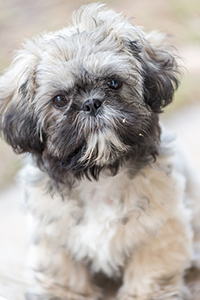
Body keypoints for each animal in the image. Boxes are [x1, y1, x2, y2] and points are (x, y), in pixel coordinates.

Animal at [0, 2, 198, 300]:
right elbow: (63, 278)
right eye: (60, 100)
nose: (92, 103)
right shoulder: (54, 239)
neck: (101, 174)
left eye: (113, 83)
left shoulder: (160, 230)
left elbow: (150, 274)